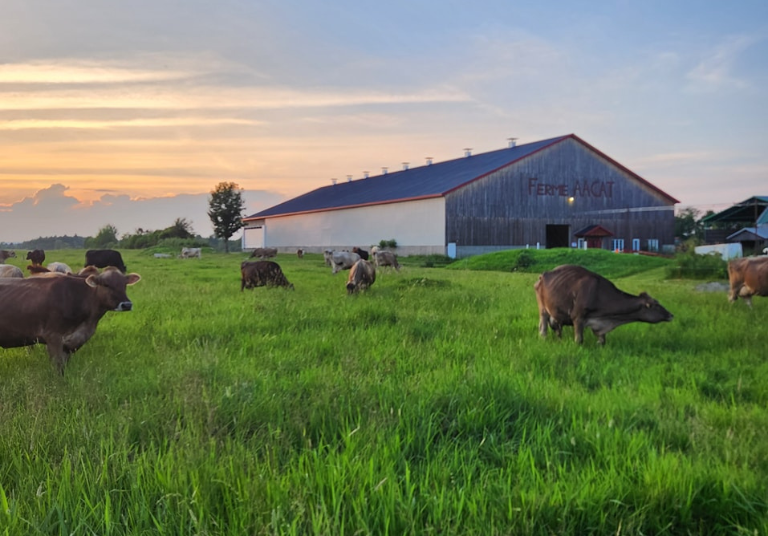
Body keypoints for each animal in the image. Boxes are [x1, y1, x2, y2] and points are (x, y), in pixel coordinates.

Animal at [0, 266, 141, 374]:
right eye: (106, 284)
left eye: (124, 285)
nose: (126, 305)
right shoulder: (53, 336)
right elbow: (58, 367)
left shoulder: (71, 343)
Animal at [536, 264, 672, 348]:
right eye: (655, 305)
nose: (671, 315)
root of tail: (542, 275)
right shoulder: (578, 318)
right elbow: (579, 340)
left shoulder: (600, 326)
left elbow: (602, 342)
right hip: (543, 309)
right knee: (543, 329)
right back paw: (543, 340)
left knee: (557, 328)